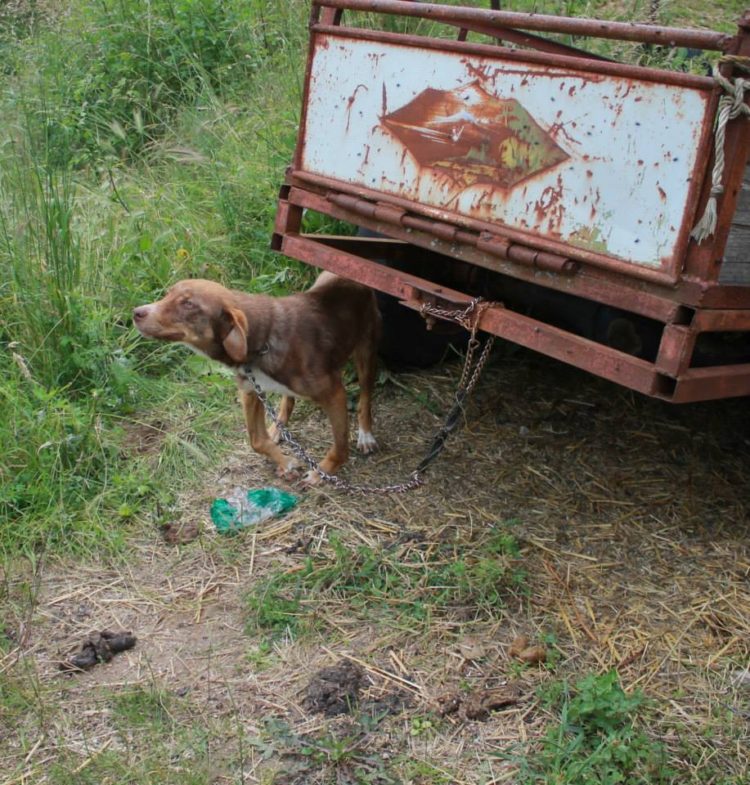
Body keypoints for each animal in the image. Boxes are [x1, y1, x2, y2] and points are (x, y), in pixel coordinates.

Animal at [134, 272, 382, 484]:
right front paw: (286, 462)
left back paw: (365, 435)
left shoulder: (334, 394)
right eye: (168, 294)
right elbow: (256, 441)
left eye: (188, 304)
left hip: (366, 352)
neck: (262, 341)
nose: (136, 312)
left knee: (365, 395)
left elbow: (340, 446)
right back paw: (278, 427)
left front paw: (322, 472)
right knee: (288, 399)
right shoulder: (251, 391)